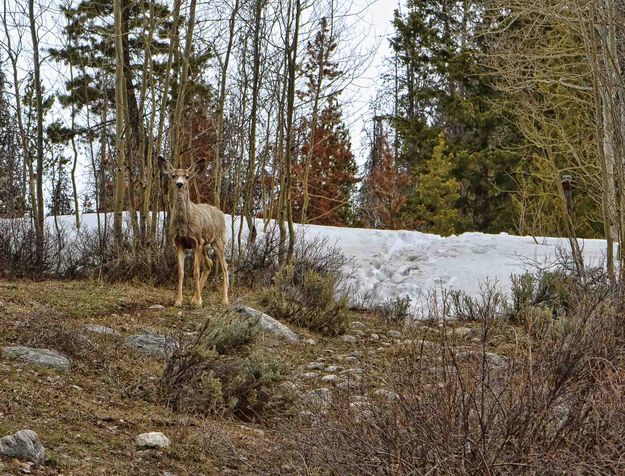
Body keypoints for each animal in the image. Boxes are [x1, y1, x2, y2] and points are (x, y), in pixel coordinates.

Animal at [161, 156, 229, 304]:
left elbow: (196, 271)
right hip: (204, 245)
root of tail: (220, 212)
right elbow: (181, 272)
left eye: (187, 176)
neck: (184, 223)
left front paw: (199, 302)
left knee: (224, 266)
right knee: (209, 264)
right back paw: (193, 297)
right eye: (173, 175)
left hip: (218, 241)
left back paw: (224, 300)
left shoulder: (196, 241)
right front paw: (178, 301)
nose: (179, 184)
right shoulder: (179, 242)